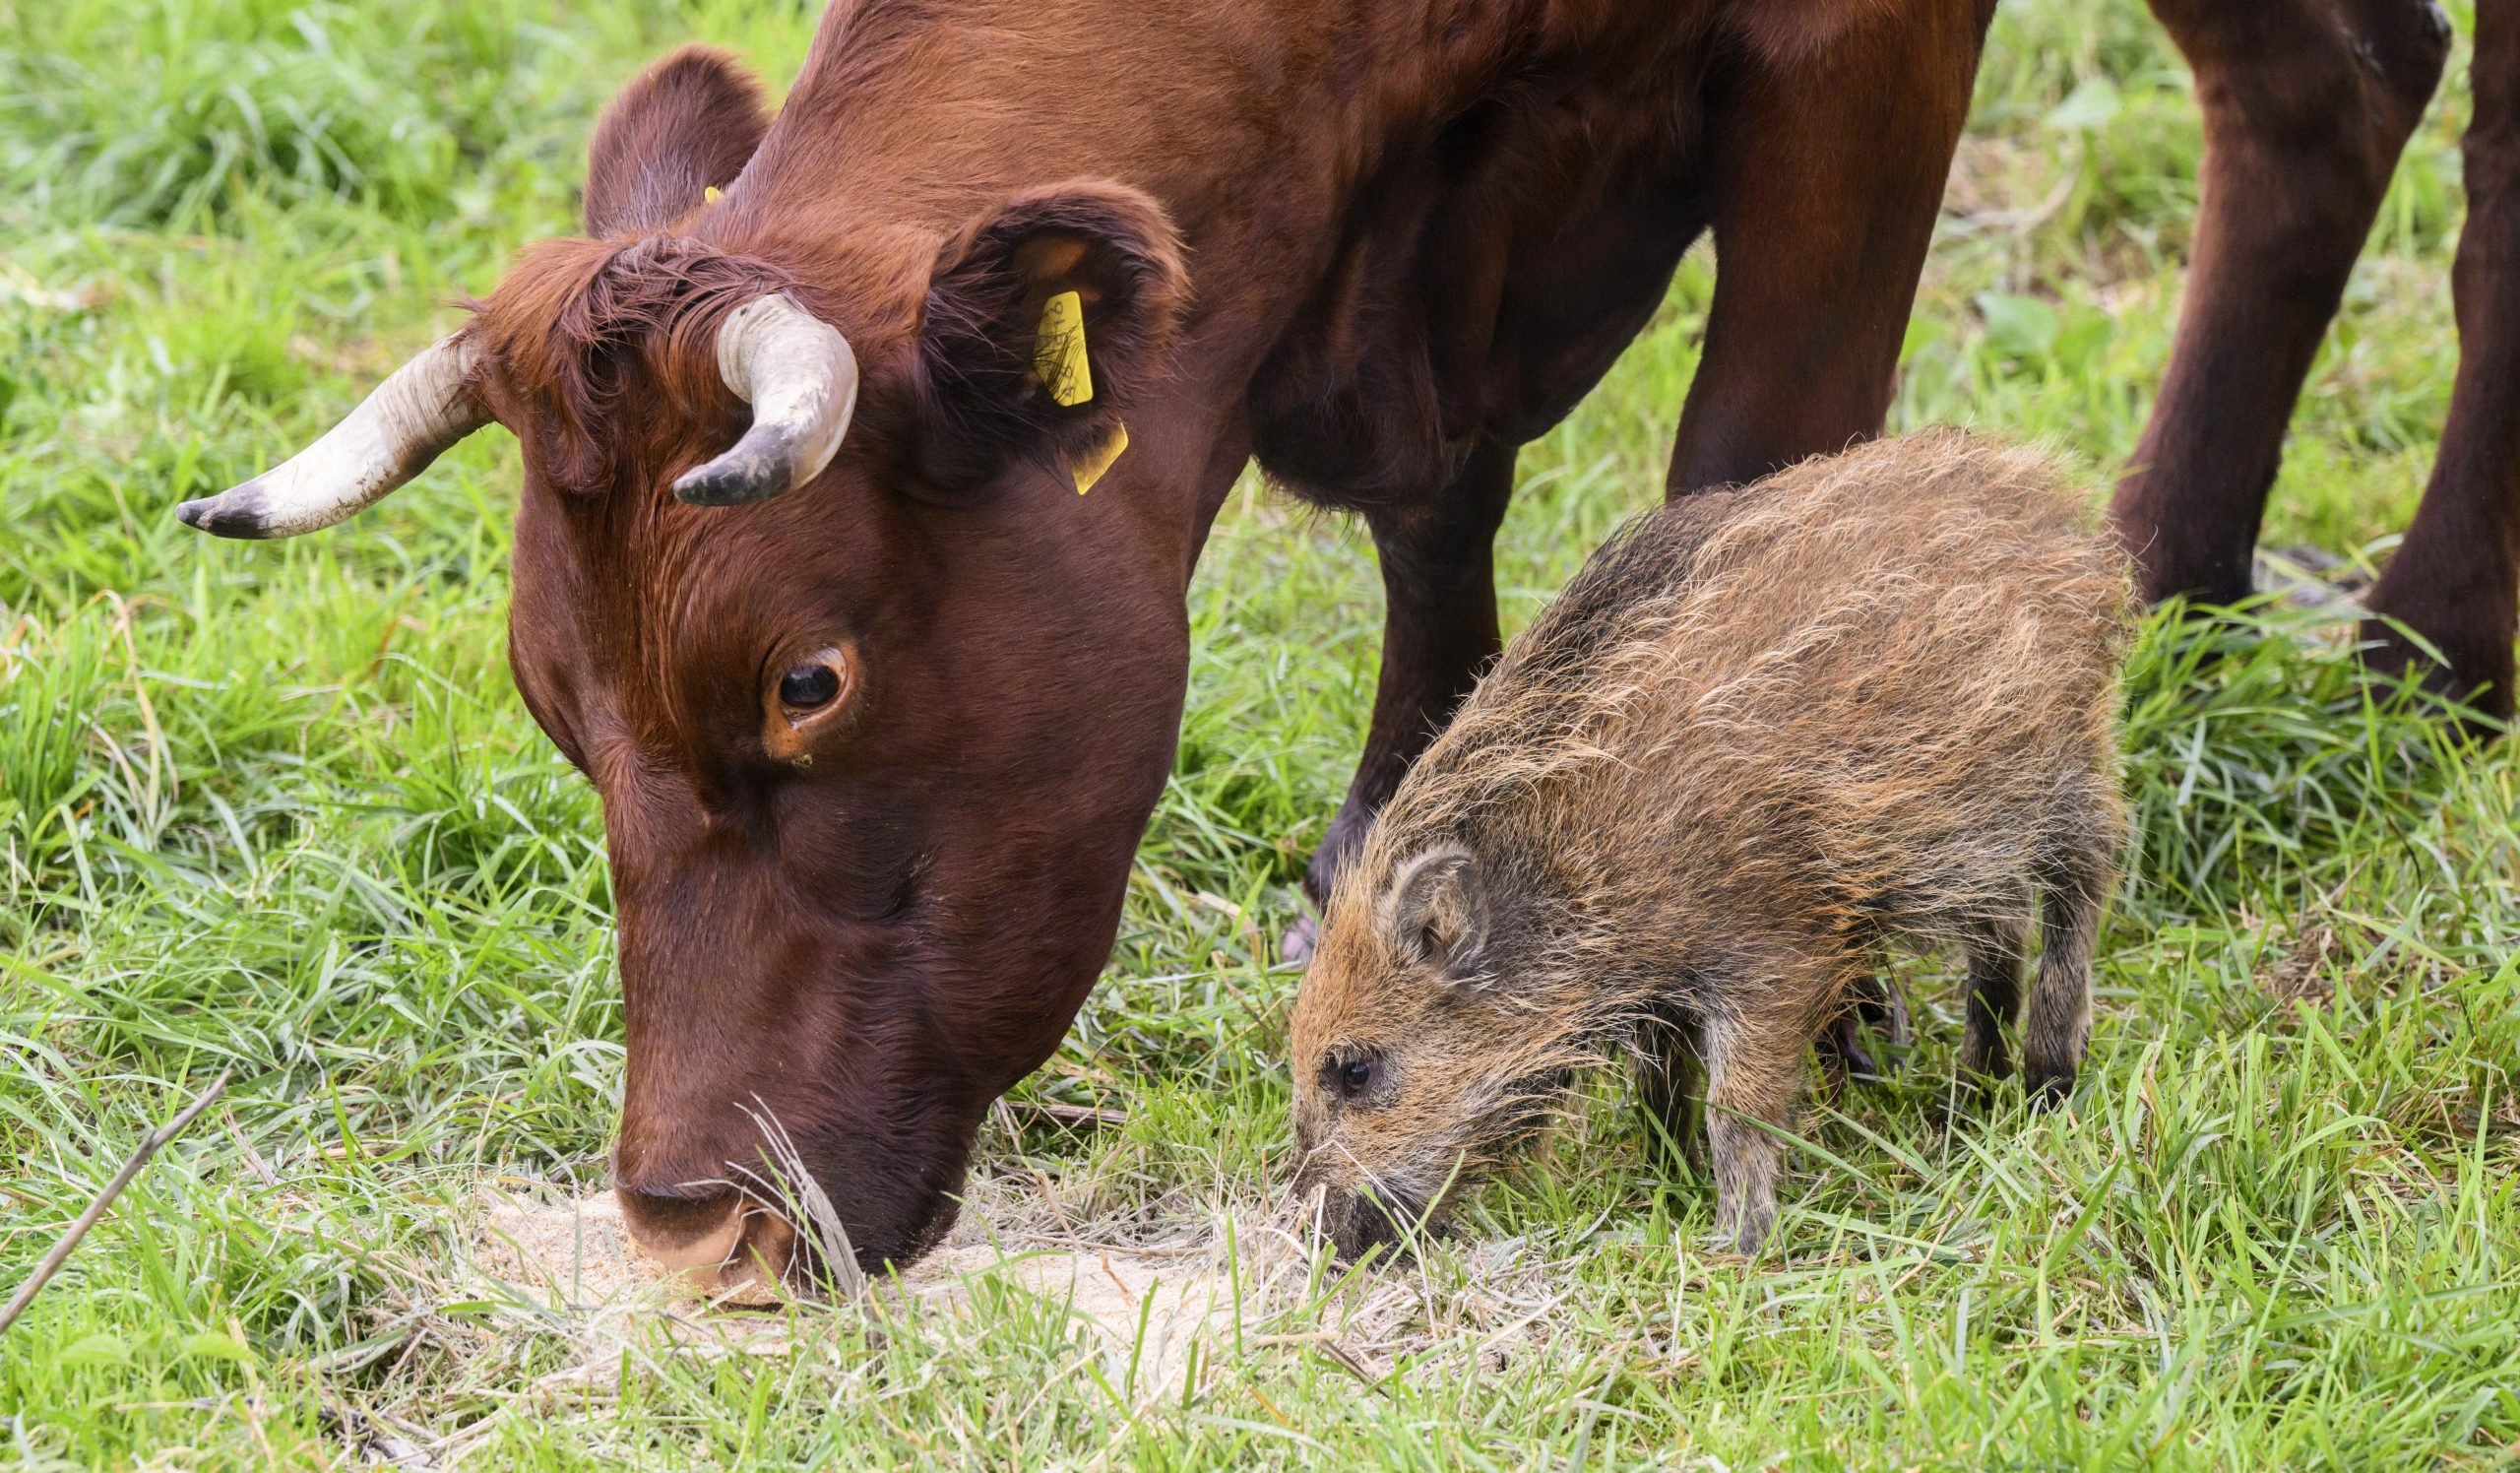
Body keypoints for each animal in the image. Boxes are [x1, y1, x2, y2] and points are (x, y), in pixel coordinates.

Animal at [172, 0, 2005, 1281]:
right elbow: (1437, 518)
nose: (691, 1231)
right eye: (555, 707)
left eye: (805, 682)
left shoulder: (1854, 77)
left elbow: (1760, 471)